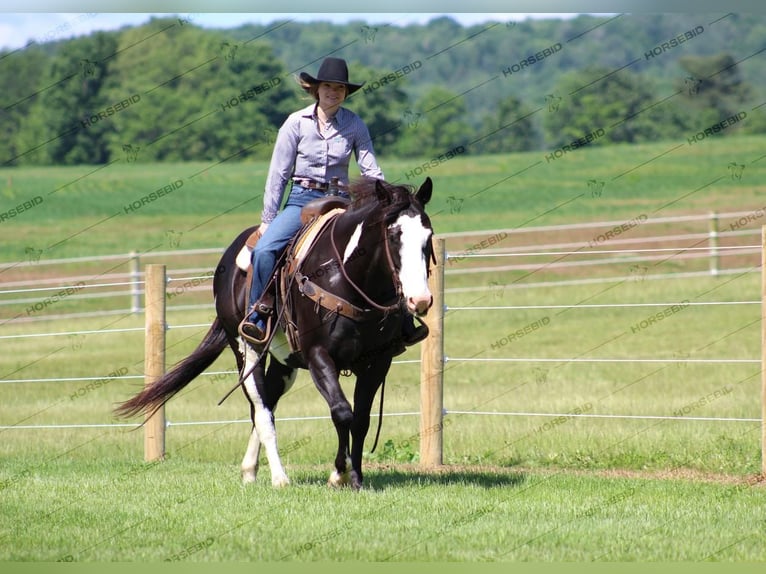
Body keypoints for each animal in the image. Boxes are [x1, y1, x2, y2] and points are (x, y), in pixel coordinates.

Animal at [117, 179, 436, 490]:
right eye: (393, 235)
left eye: (428, 236)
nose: (420, 300)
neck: (347, 279)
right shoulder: (319, 356)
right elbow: (341, 411)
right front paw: (339, 474)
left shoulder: (377, 362)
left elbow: (360, 420)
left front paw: (355, 477)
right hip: (246, 350)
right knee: (261, 410)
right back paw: (279, 478)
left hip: (285, 362)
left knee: (269, 402)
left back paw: (250, 469)